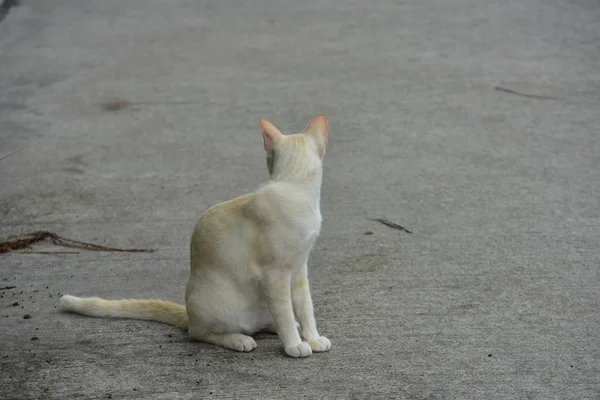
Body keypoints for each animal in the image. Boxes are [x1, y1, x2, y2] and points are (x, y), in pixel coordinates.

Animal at [59, 114, 332, 358]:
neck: (295, 188)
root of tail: (190, 313)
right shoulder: (276, 274)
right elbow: (285, 312)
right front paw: (294, 345)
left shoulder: (298, 269)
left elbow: (305, 308)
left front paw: (312, 338)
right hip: (223, 303)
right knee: (201, 332)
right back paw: (239, 339)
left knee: (261, 322)